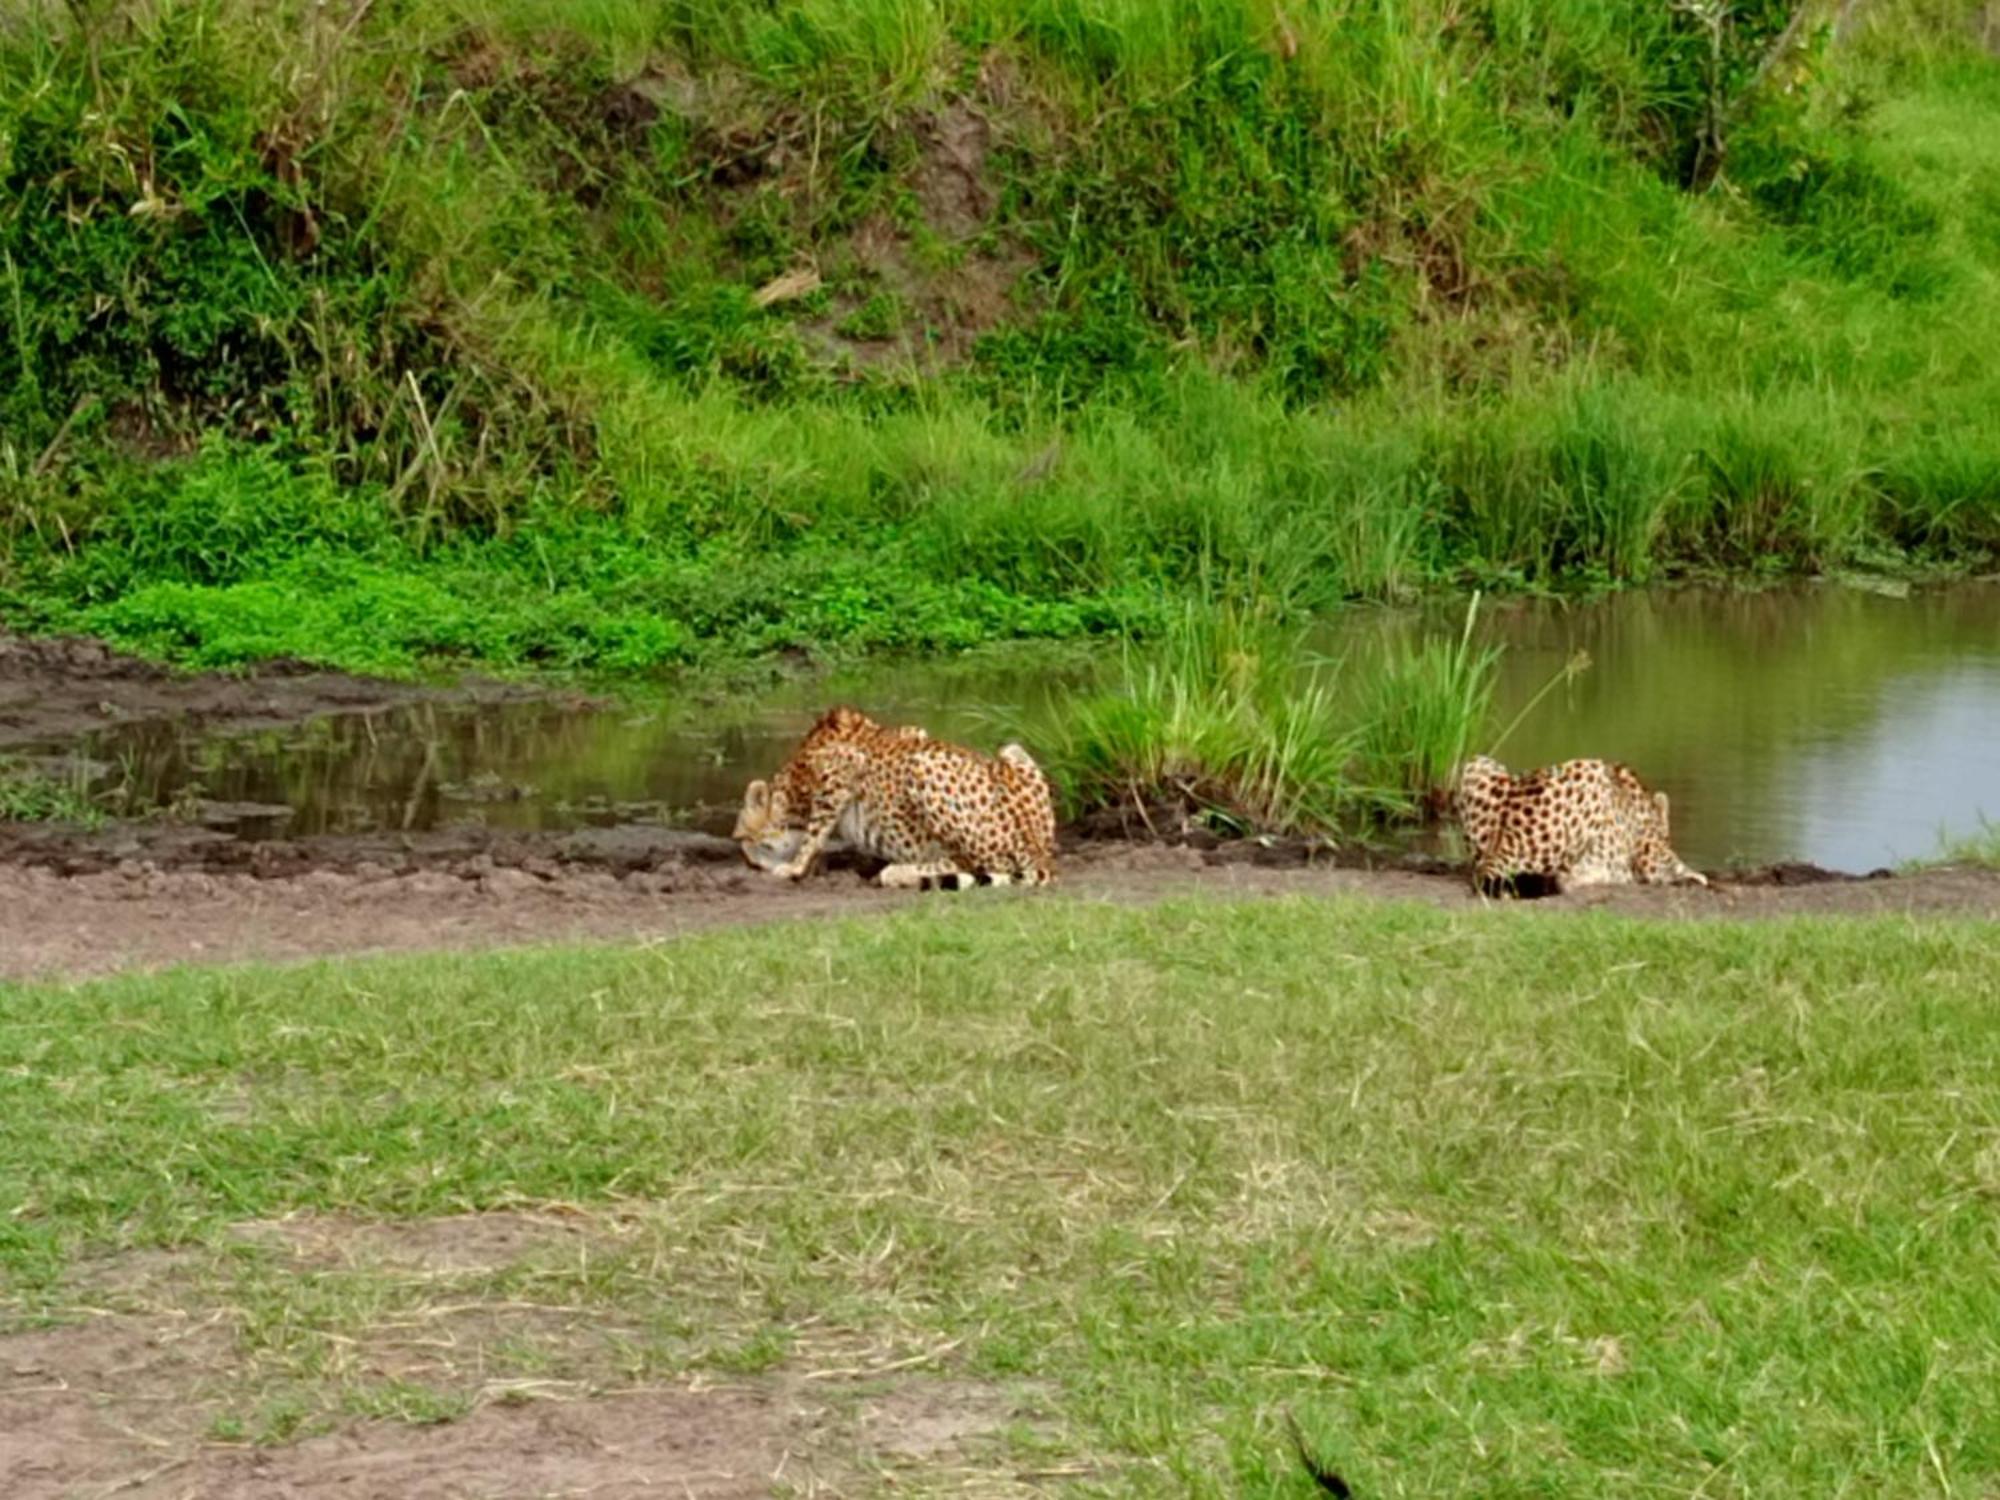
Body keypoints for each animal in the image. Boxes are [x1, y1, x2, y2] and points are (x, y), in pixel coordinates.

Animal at [728, 708, 1056, 892]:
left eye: (747, 840)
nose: (750, 865)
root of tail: (1041, 850)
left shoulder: (842, 767)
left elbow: (815, 833)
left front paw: (794, 868)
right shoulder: (913, 732)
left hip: (922, 764)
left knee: (978, 862)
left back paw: (899, 871)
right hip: (1012, 749)